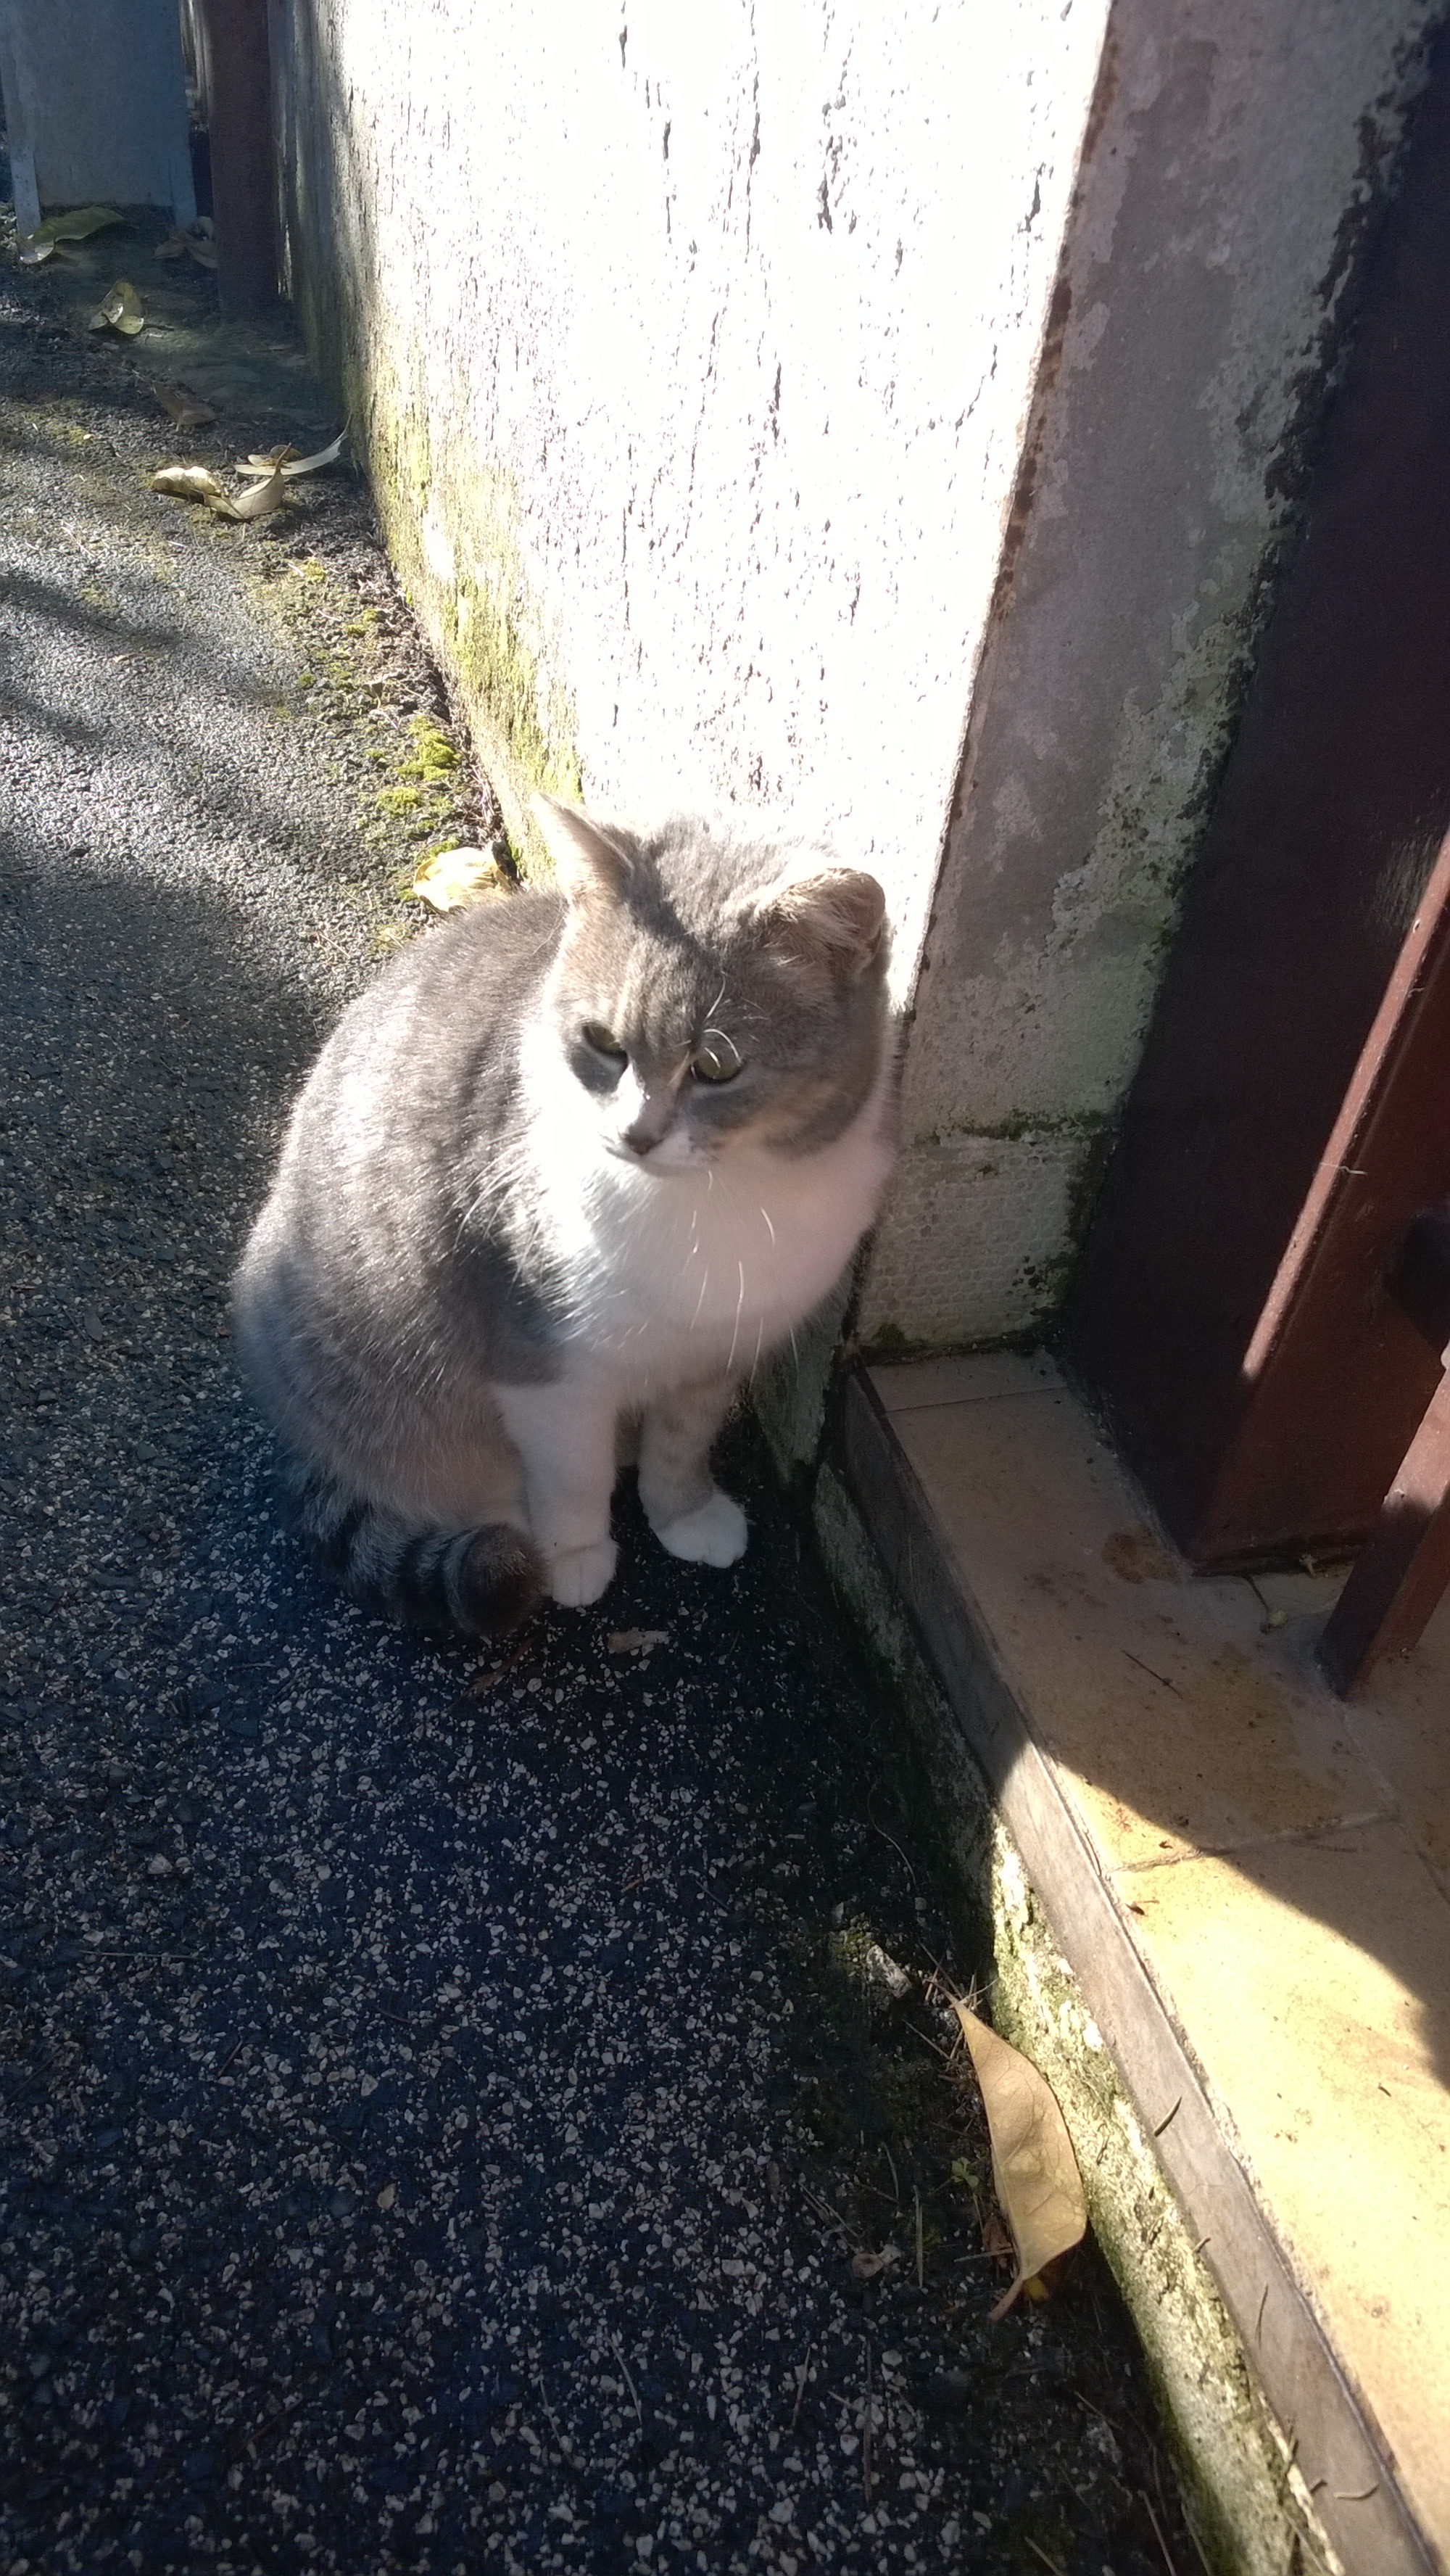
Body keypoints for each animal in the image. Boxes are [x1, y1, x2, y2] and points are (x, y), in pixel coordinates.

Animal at [232, 794, 897, 1637]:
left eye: (717, 1066)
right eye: (603, 1042)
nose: (634, 1135)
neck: (715, 1203)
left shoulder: (717, 1353)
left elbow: (681, 1447)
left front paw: (683, 1516)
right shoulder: (542, 1364)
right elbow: (573, 1472)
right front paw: (576, 1556)